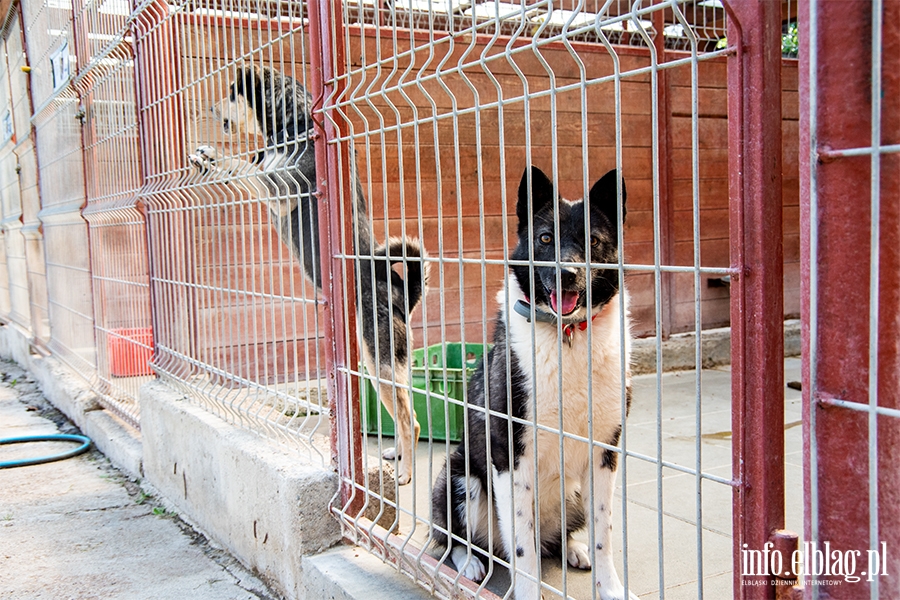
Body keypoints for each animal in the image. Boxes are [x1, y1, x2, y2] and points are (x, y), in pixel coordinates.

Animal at [188, 65, 428, 486]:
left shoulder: (281, 189)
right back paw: (395, 456)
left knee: (410, 420)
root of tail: (403, 291)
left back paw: (405, 474)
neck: (291, 124)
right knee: (404, 413)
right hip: (379, 366)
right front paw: (204, 161)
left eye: (232, 93)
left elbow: (245, 166)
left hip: (380, 360)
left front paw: (217, 156)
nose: (210, 107)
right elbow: (245, 167)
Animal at [428, 168, 632, 600]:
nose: (566, 274)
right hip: (459, 478)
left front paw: (610, 587)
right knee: (457, 540)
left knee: (554, 540)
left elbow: (605, 535)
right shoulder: (510, 457)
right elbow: (522, 548)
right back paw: (470, 563)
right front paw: (527, 590)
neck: (568, 335)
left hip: (574, 493)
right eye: (545, 238)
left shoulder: (605, 454)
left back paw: (572, 548)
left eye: (592, 241)